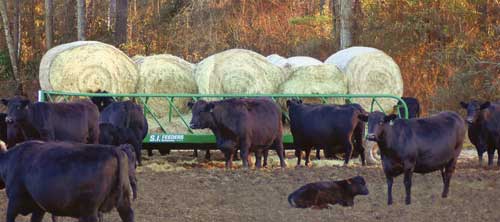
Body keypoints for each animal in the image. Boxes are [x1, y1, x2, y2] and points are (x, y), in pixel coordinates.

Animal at [0, 141, 135, 221]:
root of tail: (113, 149)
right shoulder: (39, 208)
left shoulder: (14, 202)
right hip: (124, 201)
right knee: (128, 215)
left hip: (90, 210)